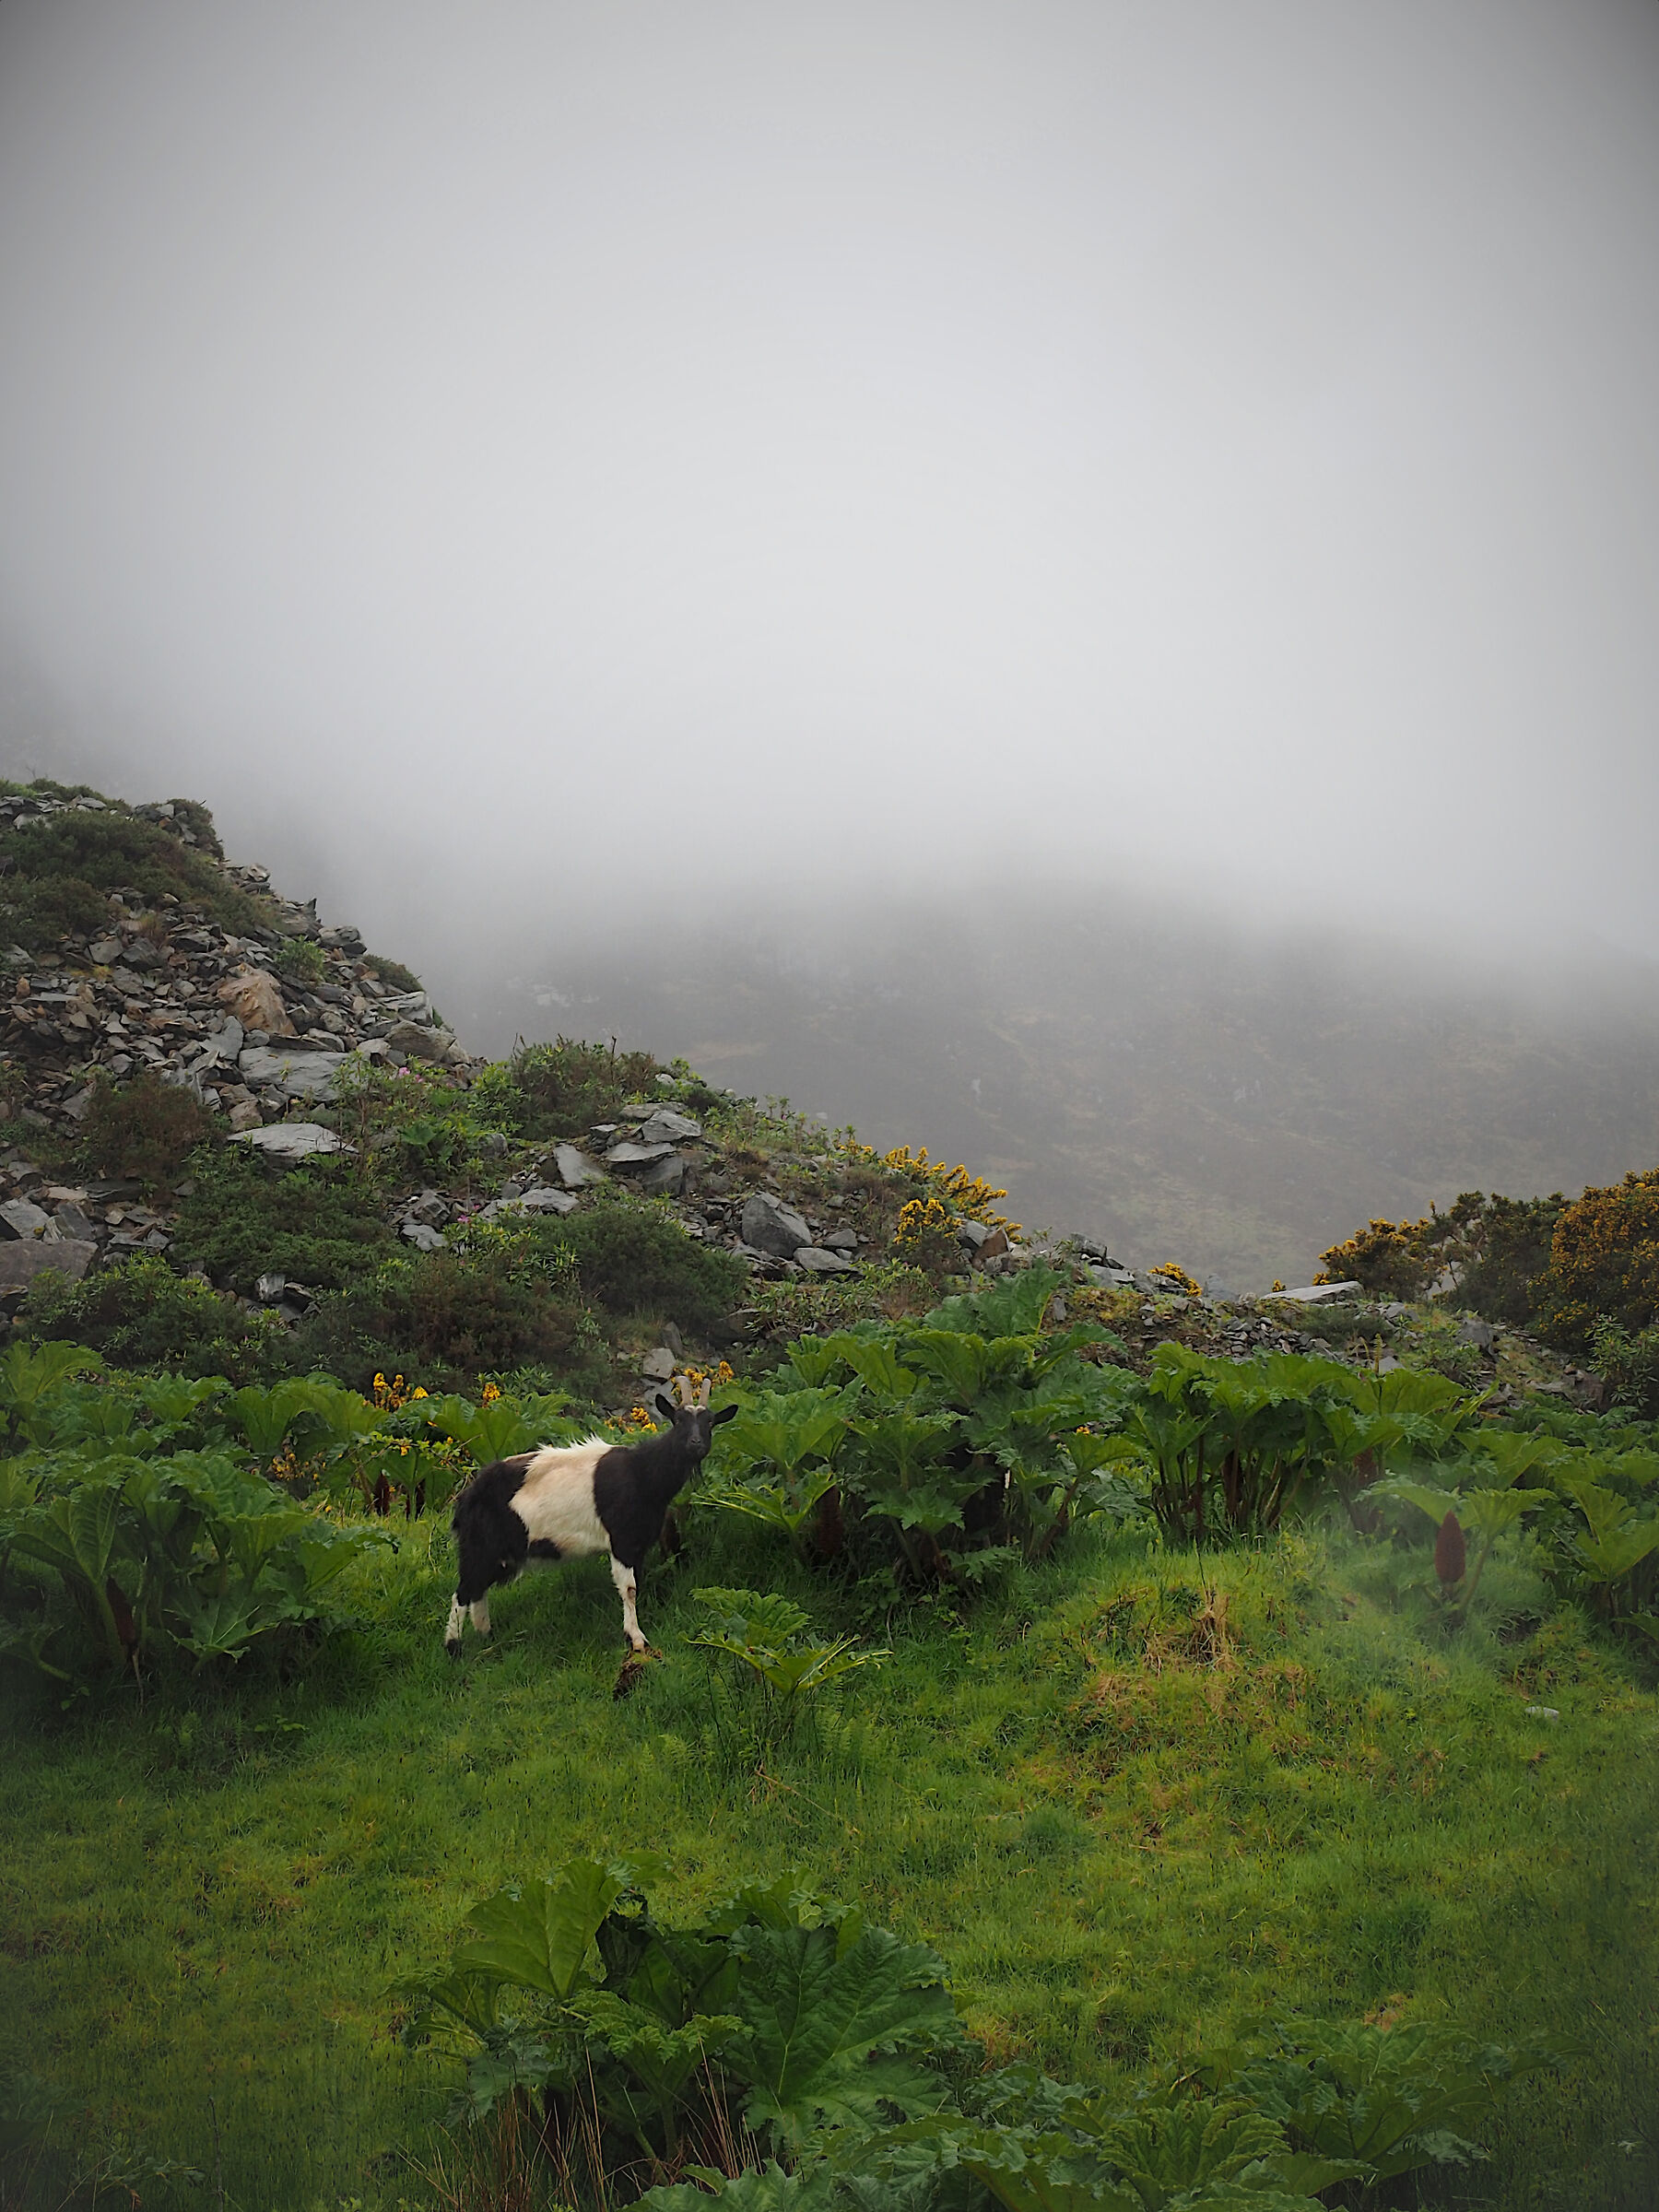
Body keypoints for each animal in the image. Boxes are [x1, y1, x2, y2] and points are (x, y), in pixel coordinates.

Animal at [444, 1373, 736, 1655]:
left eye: (710, 1422)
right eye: (678, 1420)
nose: (696, 1444)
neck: (641, 1472)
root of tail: (467, 1499)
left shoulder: (638, 1544)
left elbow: (636, 1584)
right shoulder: (621, 1540)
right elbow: (629, 1589)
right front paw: (637, 1639)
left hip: (501, 1555)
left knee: (478, 1591)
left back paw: (486, 1635)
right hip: (480, 1546)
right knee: (463, 1592)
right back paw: (453, 1647)